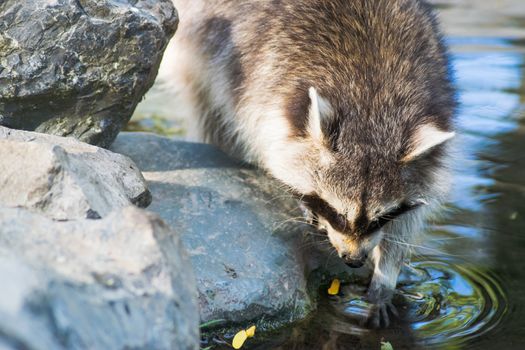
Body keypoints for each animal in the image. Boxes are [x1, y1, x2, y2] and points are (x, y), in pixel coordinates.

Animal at [162, 0, 456, 328]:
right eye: (335, 211)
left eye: (381, 217)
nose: (354, 260)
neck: (371, 100)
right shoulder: (257, 79)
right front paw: (302, 203)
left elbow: (407, 225)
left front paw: (385, 278)